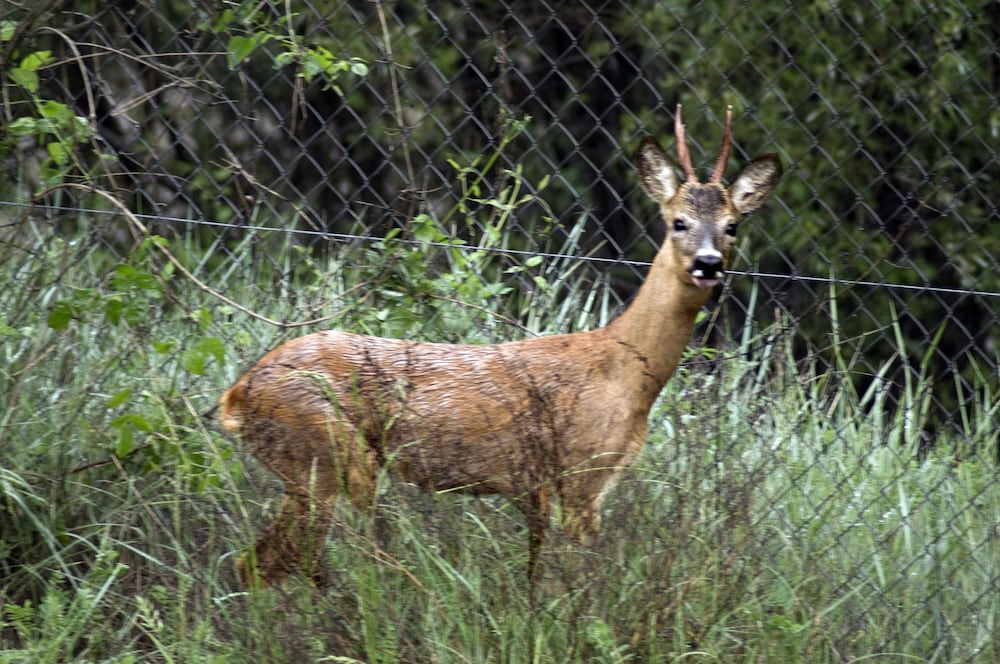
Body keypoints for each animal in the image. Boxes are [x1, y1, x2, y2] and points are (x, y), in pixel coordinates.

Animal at [219, 104, 781, 587]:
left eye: (732, 225)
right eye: (678, 221)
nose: (708, 263)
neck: (624, 369)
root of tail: (238, 394)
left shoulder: (548, 487)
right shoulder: (580, 470)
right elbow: (573, 582)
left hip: (310, 467)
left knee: (257, 565)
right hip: (330, 452)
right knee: (314, 561)